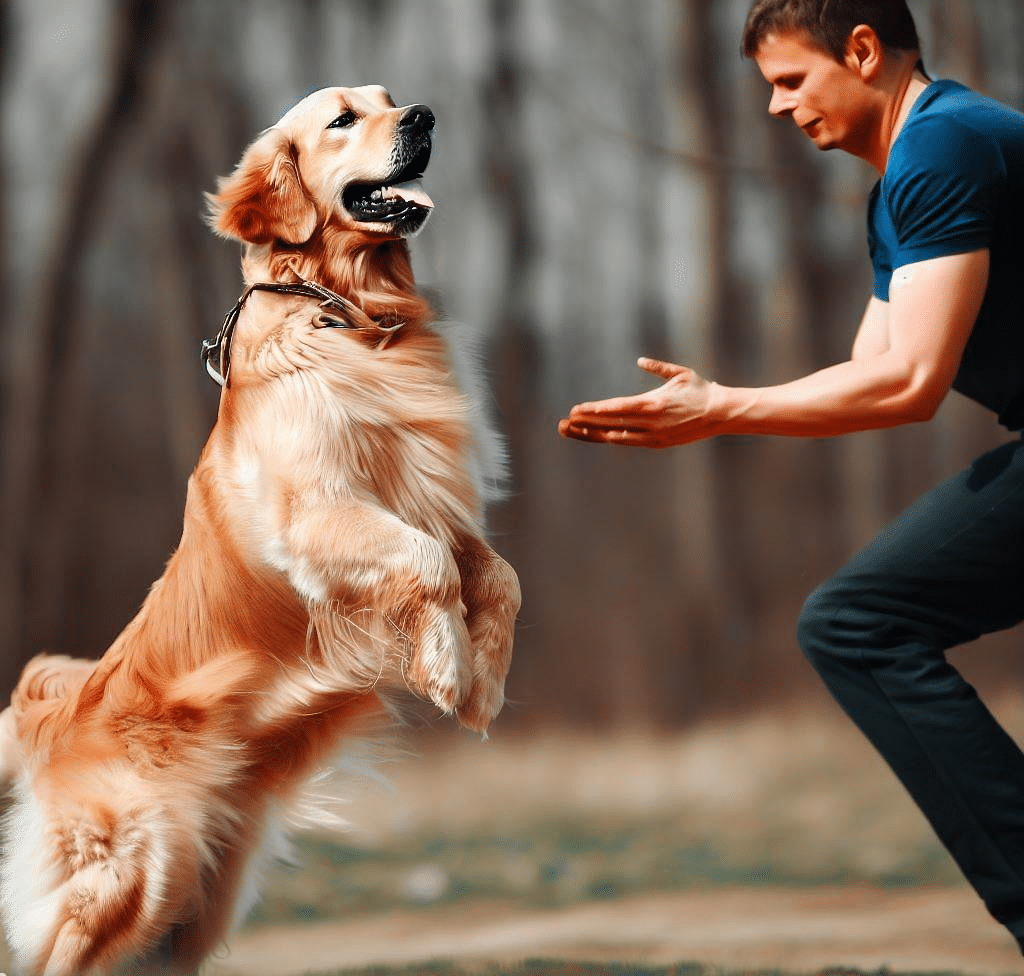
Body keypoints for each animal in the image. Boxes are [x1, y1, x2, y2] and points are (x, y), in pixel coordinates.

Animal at [0, 85, 520, 974]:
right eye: (343, 119)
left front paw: (483, 681)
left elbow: (497, 575)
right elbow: (428, 565)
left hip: (198, 900)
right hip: (142, 867)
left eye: (388, 101)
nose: (423, 115)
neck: (351, 318)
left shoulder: (437, 503)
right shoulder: (318, 517)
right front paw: (447, 666)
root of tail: (58, 720)